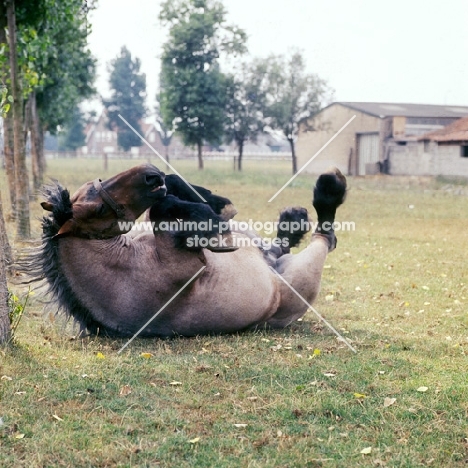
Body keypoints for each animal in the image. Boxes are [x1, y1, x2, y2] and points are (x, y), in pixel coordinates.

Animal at [26, 164, 348, 336]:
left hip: (274, 258)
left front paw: (215, 205)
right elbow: (161, 208)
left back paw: (293, 219)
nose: (150, 174)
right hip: (301, 276)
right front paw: (216, 217)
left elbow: (167, 198)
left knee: (279, 245)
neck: (123, 276)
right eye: (99, 209)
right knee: (325, 237)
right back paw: (328, 190)